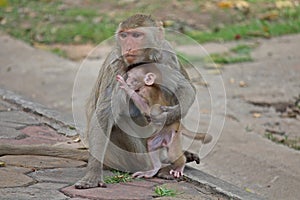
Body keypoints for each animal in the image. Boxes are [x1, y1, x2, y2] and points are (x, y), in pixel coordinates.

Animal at [74, 14, 197, 189]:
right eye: (124, 35)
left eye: (137, 35)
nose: (128, 48)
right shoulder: (116, 64)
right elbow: (104, 115)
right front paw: (93, 174)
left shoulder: (167, 54)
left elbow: (186, 88)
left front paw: (169, 114)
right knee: (119, 122)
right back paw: (155, 167)